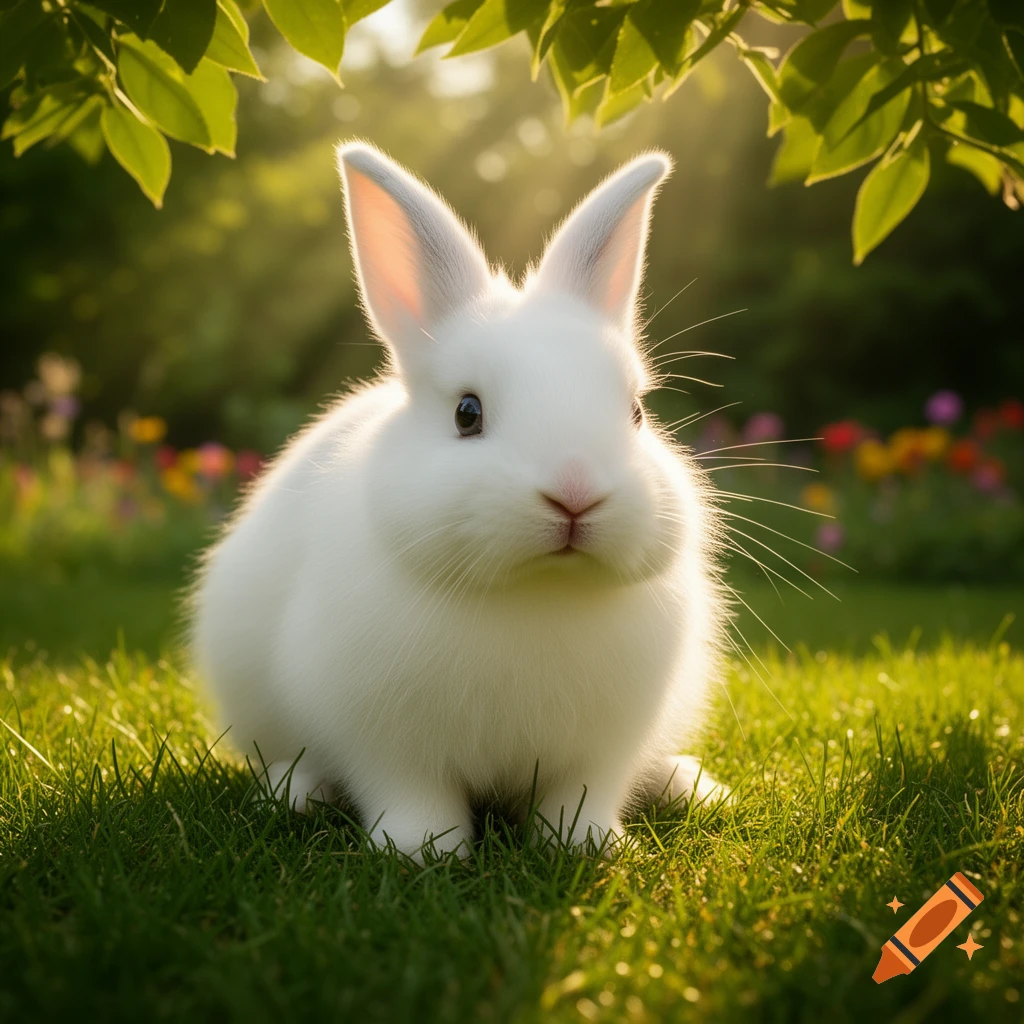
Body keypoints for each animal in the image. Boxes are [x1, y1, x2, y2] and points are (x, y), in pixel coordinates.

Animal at [191, 140, 730, 860]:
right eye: (467, 413)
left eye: (637, 412)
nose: (576, 493)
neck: (535, 595)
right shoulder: (388, 740)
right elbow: (410, 793)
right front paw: (423, 850)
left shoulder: (600, 749)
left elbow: (581, 796)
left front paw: (588, 845)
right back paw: (296, 792)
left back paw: (692, 785)